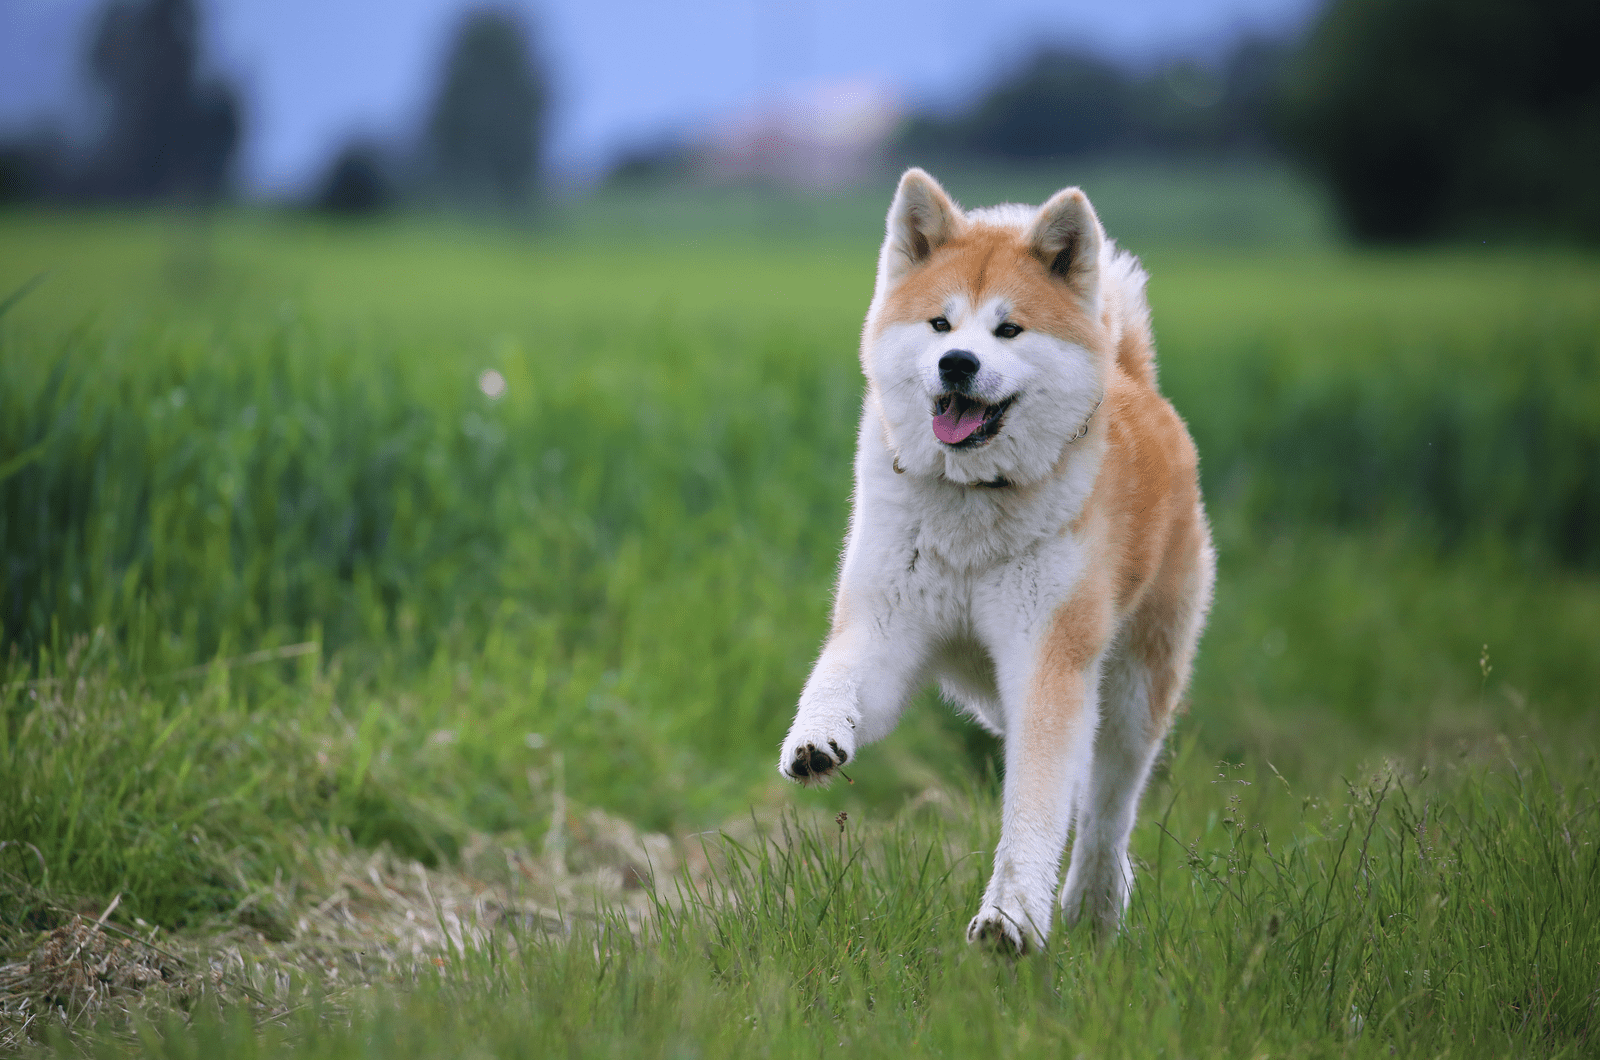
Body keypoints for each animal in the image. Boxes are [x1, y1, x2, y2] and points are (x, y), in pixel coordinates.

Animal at [777, 168, 1209, 954]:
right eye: (940, 326)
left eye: (1009, 329)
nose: (959, 363)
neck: (971, 508)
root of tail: (1135, 377)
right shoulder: (885, 628)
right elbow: (837, 678)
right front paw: (815, 737)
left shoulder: (1047, 662)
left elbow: (1035, 808)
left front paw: (1012, 917)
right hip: (995, 694)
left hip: (1135, 689)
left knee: (1108, 804)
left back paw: (1096, 900)